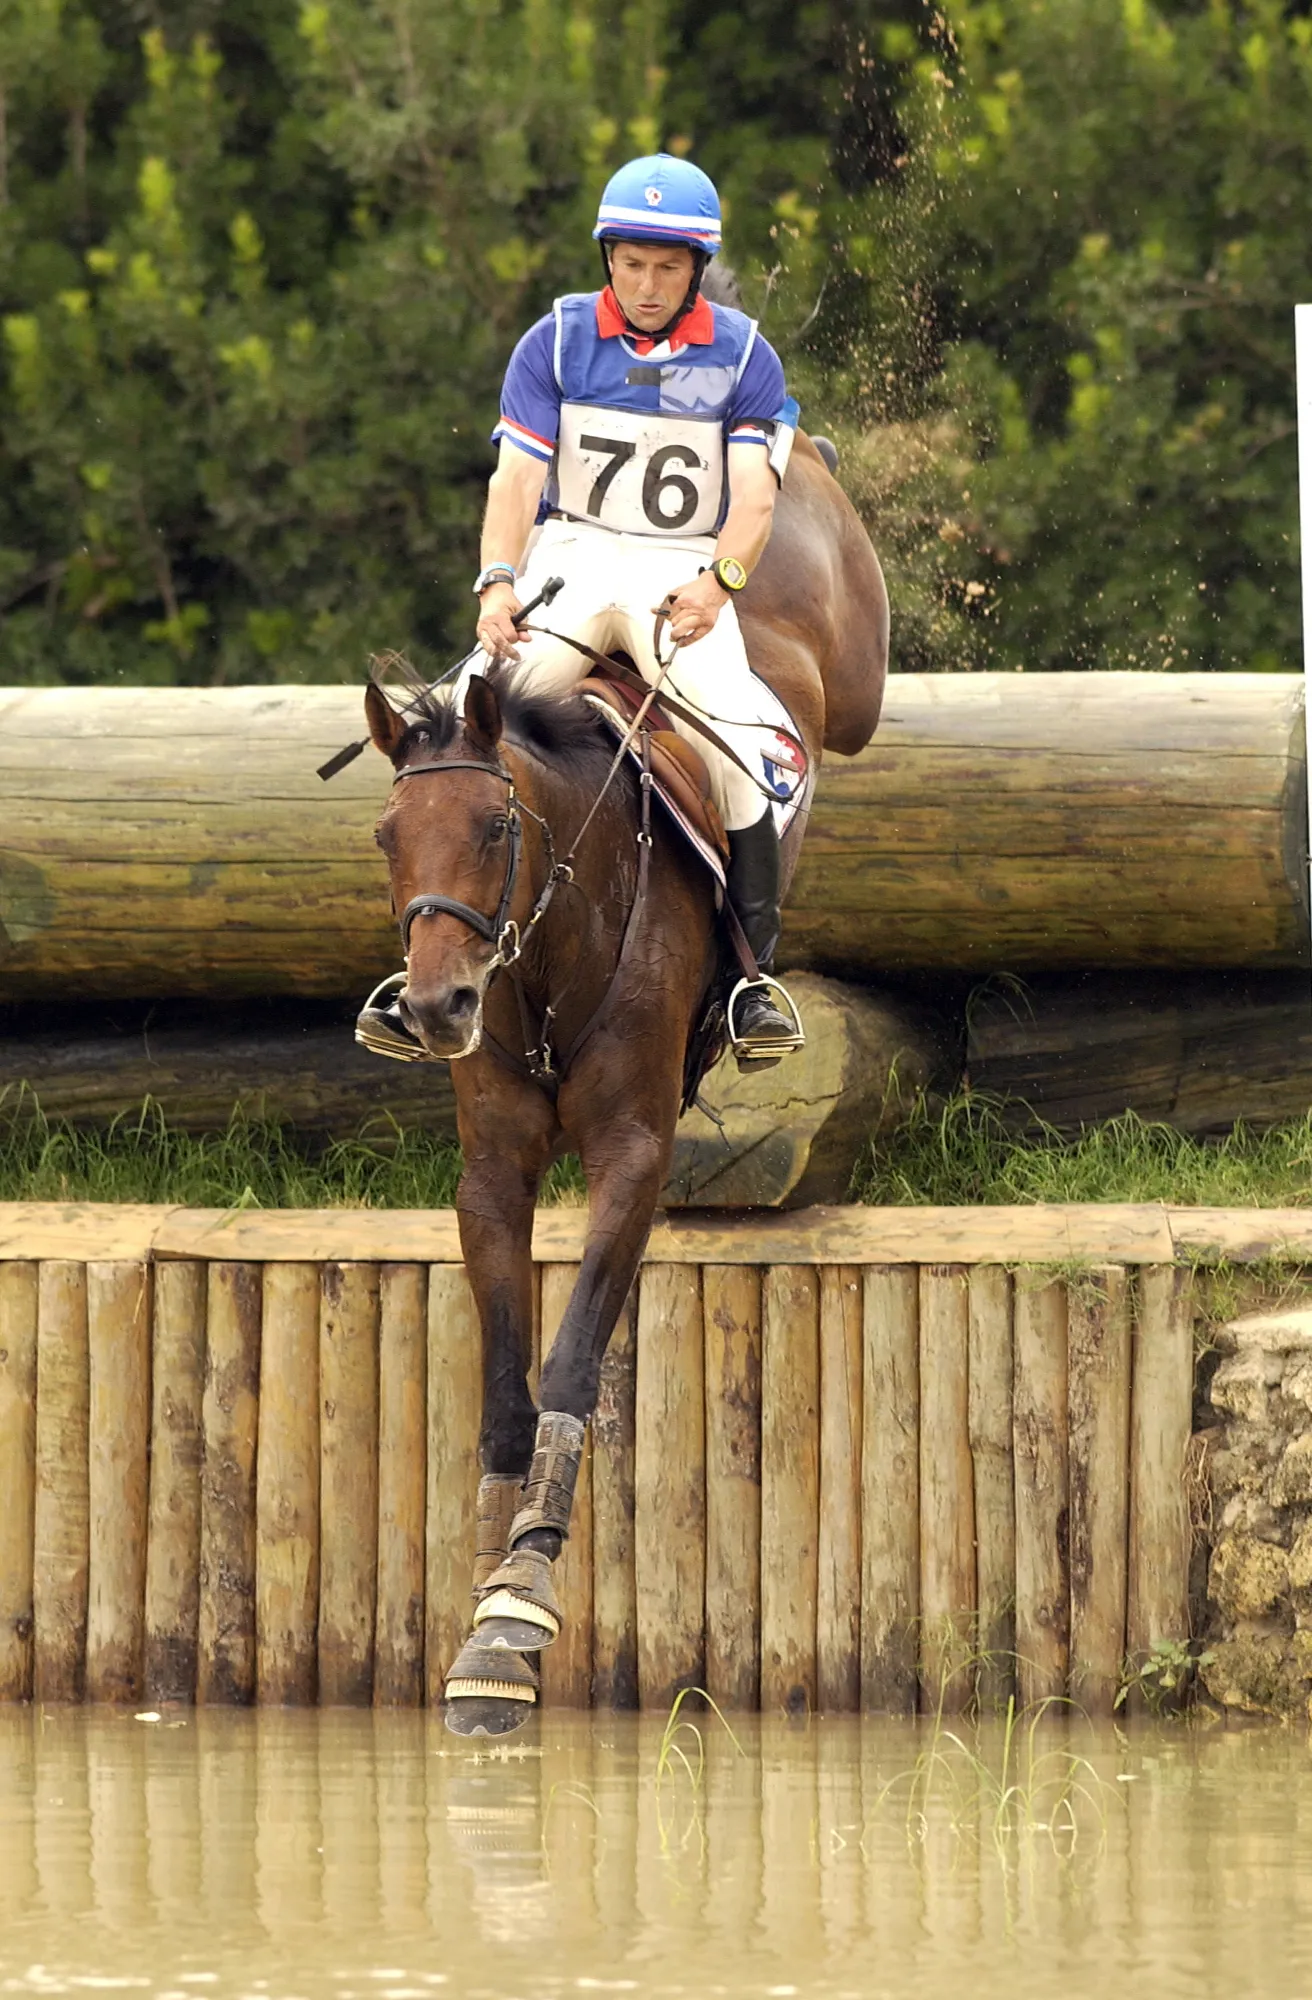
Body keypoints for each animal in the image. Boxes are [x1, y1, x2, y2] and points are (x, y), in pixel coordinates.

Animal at [363, 430, 888, 1734]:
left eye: (496, 828)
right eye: (389, 839)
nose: (439, 1007)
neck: (548, 950)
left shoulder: (632, 1156)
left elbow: (567, 1364)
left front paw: (513, 1612)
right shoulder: (492, 1170)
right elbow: (505, 1387)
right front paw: (485, 1598)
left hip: (841, 658)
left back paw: (791, 441)